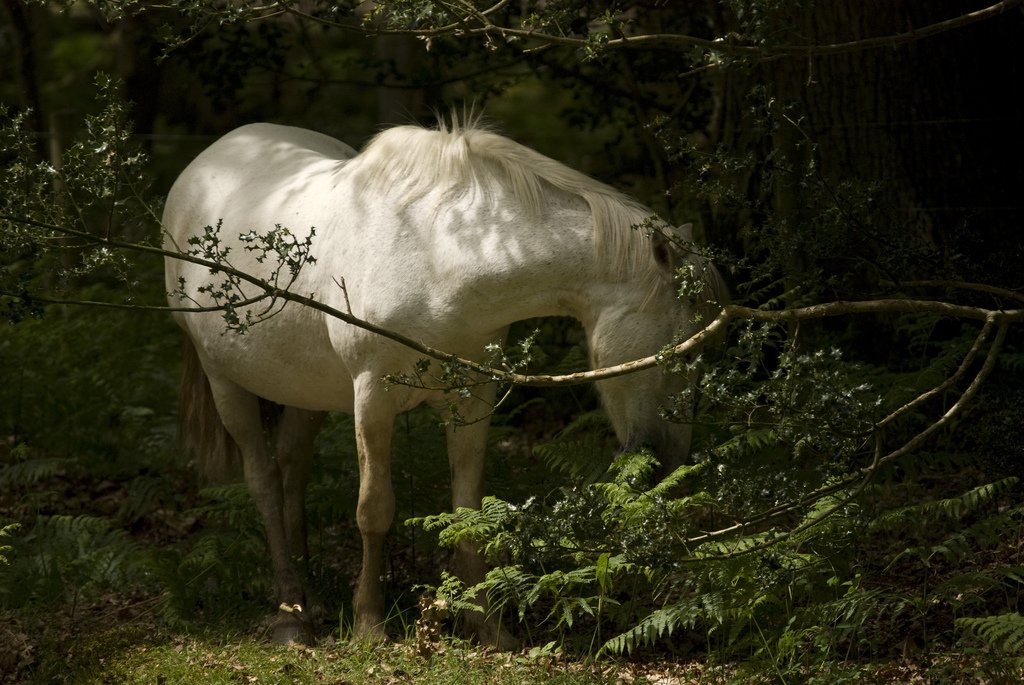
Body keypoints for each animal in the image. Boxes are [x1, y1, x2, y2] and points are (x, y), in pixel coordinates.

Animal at [161, 118, 729, 647]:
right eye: (684, 349)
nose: (669, 461)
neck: (439, 253)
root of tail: (204, 164)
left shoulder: (474, 399)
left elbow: (468, 509)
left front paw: (489, 629)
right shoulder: (373, 399)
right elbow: (374, 510)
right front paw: (369, 625)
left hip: (305, 391)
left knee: (291, 472)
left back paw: (309, 597)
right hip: (225, 383)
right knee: (262, 481)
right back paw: (290, 614)